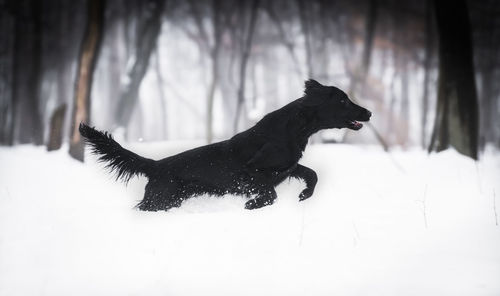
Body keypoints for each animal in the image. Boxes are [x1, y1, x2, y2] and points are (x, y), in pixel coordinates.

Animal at [81, 80, 372, 212]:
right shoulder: (254, 171)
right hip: (160, 201)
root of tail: (156, 165)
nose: (369, 112)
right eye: (343, 101)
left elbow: (312, 174)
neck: (293, 129)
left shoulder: (289, 166)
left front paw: (304, 195)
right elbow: (270, 194)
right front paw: (253, 205)